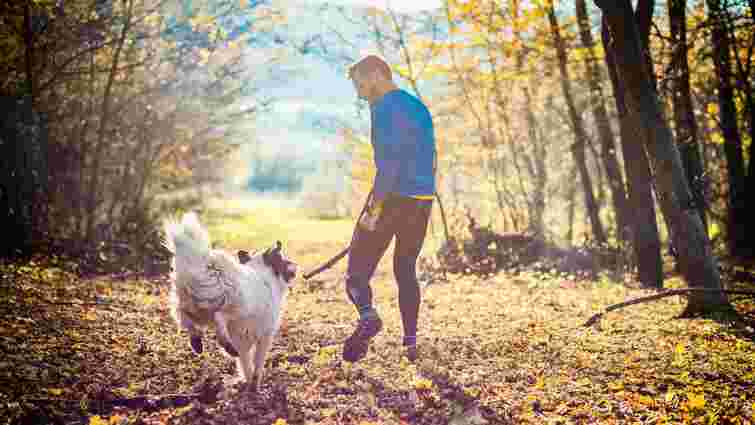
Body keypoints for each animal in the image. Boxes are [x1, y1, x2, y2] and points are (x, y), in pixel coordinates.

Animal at [163, 212, 298, 390]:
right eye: (284, 260)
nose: (296, 265)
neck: (263, 273)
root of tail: (202, 265)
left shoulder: (243, 339)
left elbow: (245, 363)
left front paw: (248, 382)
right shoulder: (265, 335)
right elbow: (257, 364)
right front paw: (254, 385)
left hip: (188, 304)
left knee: (185, 320)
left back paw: (197, 343)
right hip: (235, 306)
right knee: (219, 318)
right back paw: (226, 346)